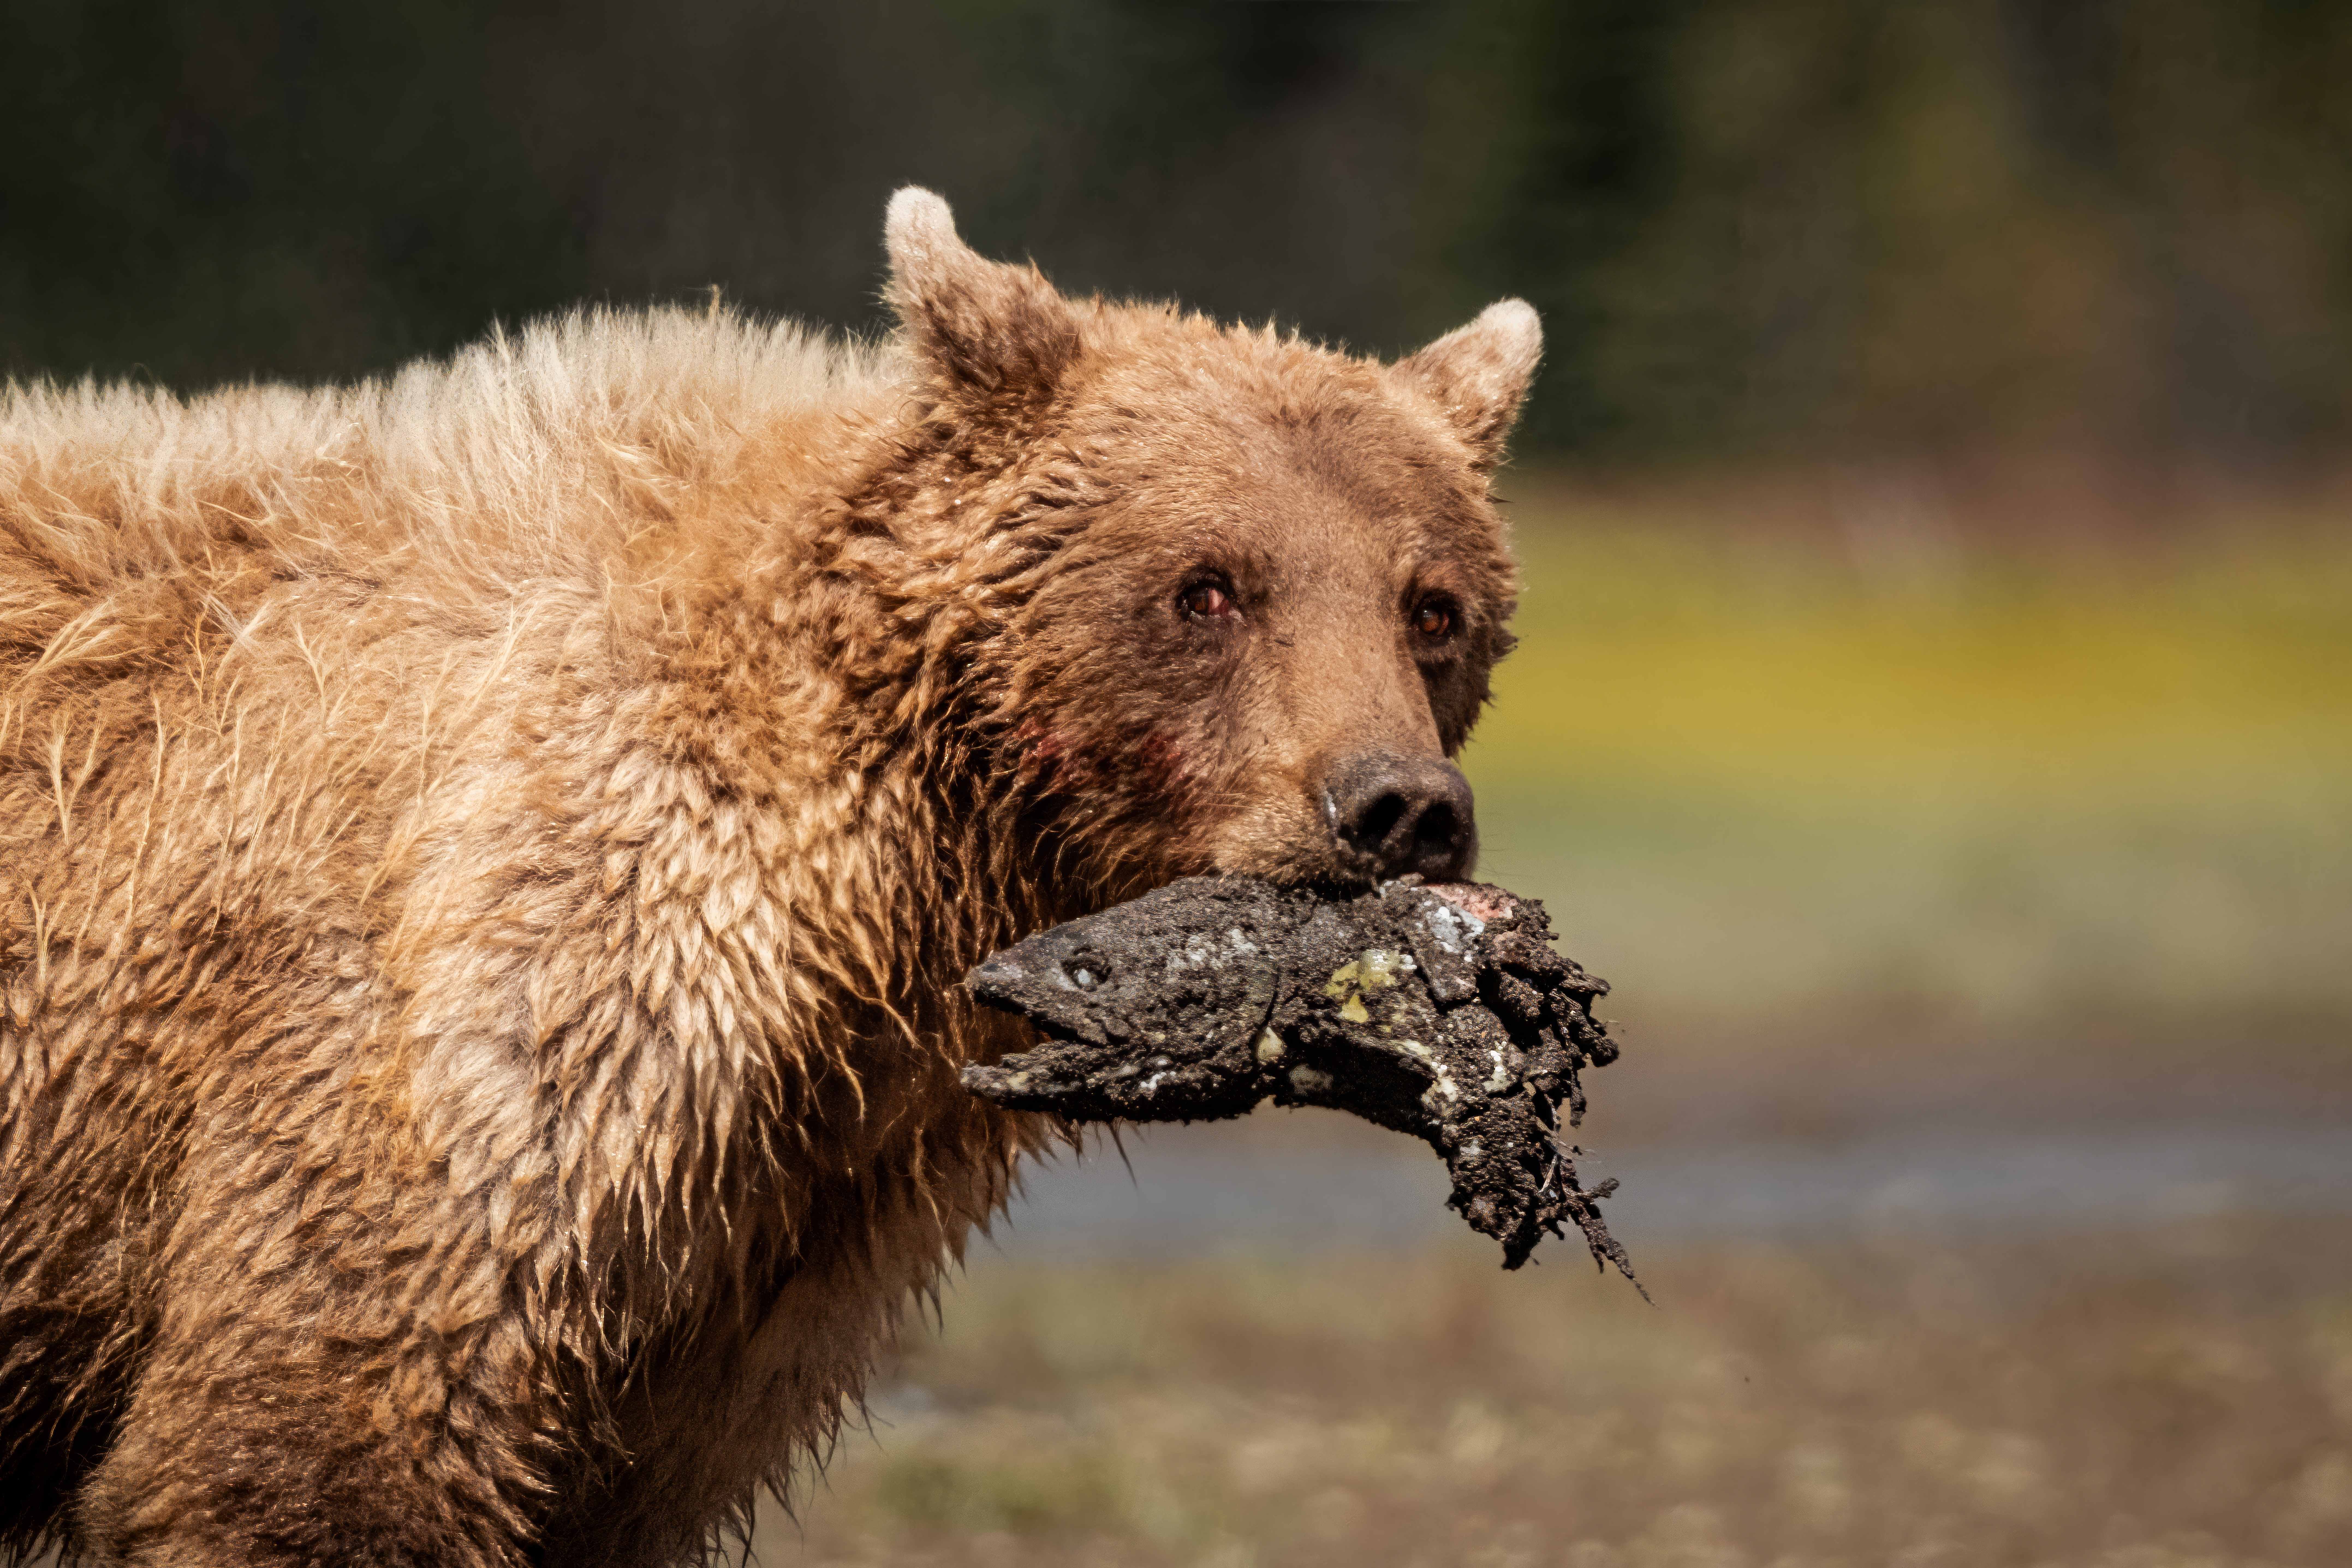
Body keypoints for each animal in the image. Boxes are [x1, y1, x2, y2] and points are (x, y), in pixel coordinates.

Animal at [0, 188, 1540, 1566]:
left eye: (1432, 607)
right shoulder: (465, 999)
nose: (1396, 807)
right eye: (1207, 586)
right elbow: (322, 1440)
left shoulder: (758, 1248)